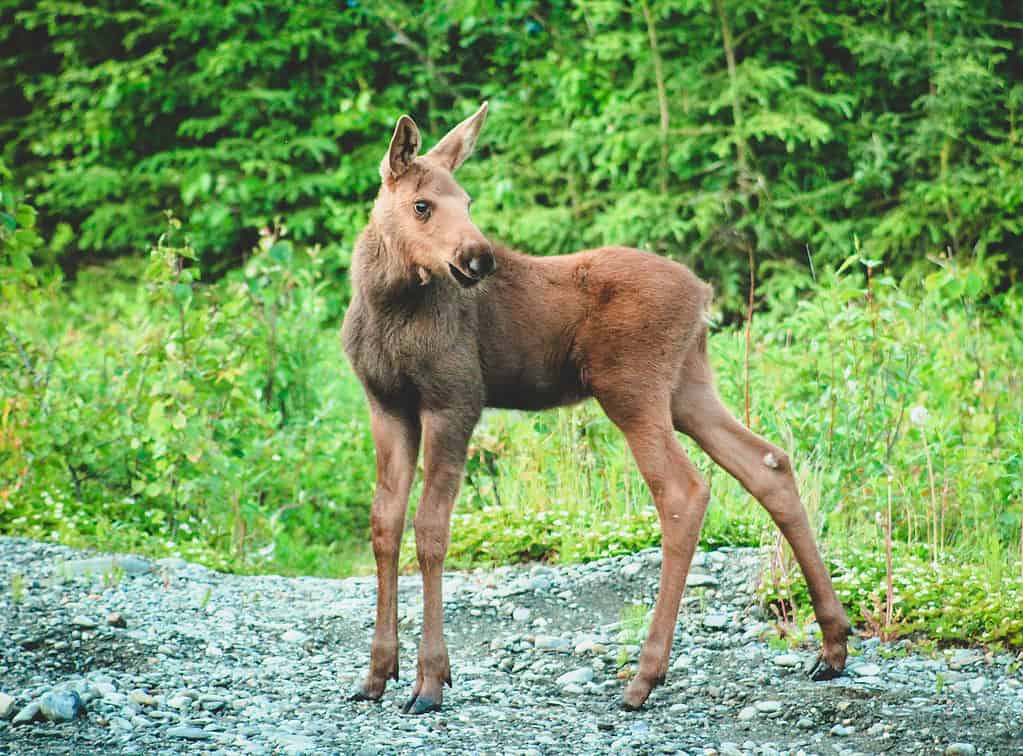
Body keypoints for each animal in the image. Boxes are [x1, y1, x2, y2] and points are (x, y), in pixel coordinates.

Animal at [339, 101, 851, 716]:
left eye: (467, 201)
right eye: (422, 205)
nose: (479, 258)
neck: (387, 302)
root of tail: (703, 294)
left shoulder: (455, 400)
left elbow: (431, 530)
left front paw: (430, 681)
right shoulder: (386, 404)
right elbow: (384, 525)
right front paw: (375, 674)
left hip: (631, 387)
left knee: (684, 491)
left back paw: (644, 676)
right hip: (687, 387)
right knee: (768, 463)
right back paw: (833, 645)